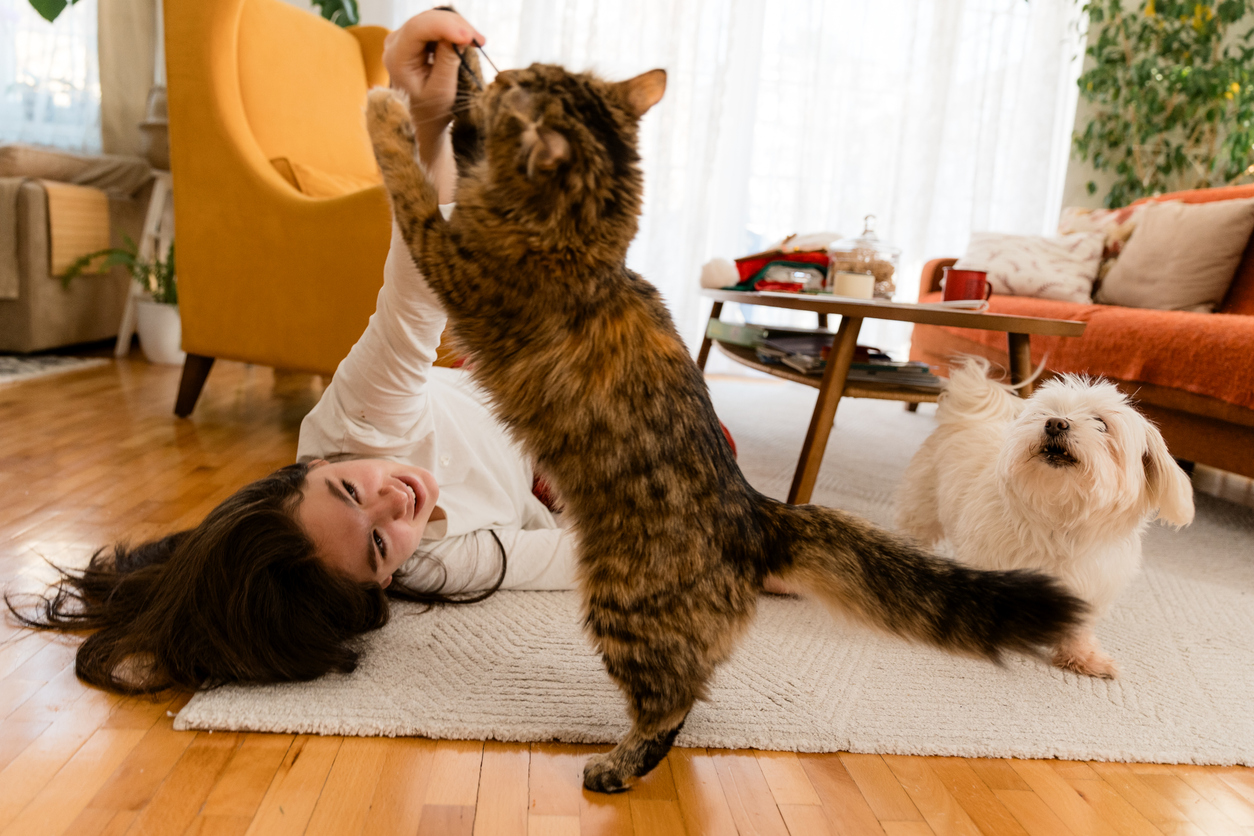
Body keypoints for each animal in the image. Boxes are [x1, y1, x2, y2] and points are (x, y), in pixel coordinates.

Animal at [366, 31, 1088, 792]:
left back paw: (616, 766)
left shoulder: (452, 260)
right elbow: (460, 141)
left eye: (526, 83)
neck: (588, 239)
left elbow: (413, 187)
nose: (506, 65)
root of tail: (758, 513)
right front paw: (452, 64)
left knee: (671, 704)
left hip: (622, 606)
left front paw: (389, 106)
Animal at [892, 355, 1193, 676]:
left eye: (1101, 423)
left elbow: (1077, 626)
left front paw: (1081, 656)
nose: (1055, 423)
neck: (1058, 520)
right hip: (921, 509)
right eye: (1047, 413)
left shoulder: (1088, 584)